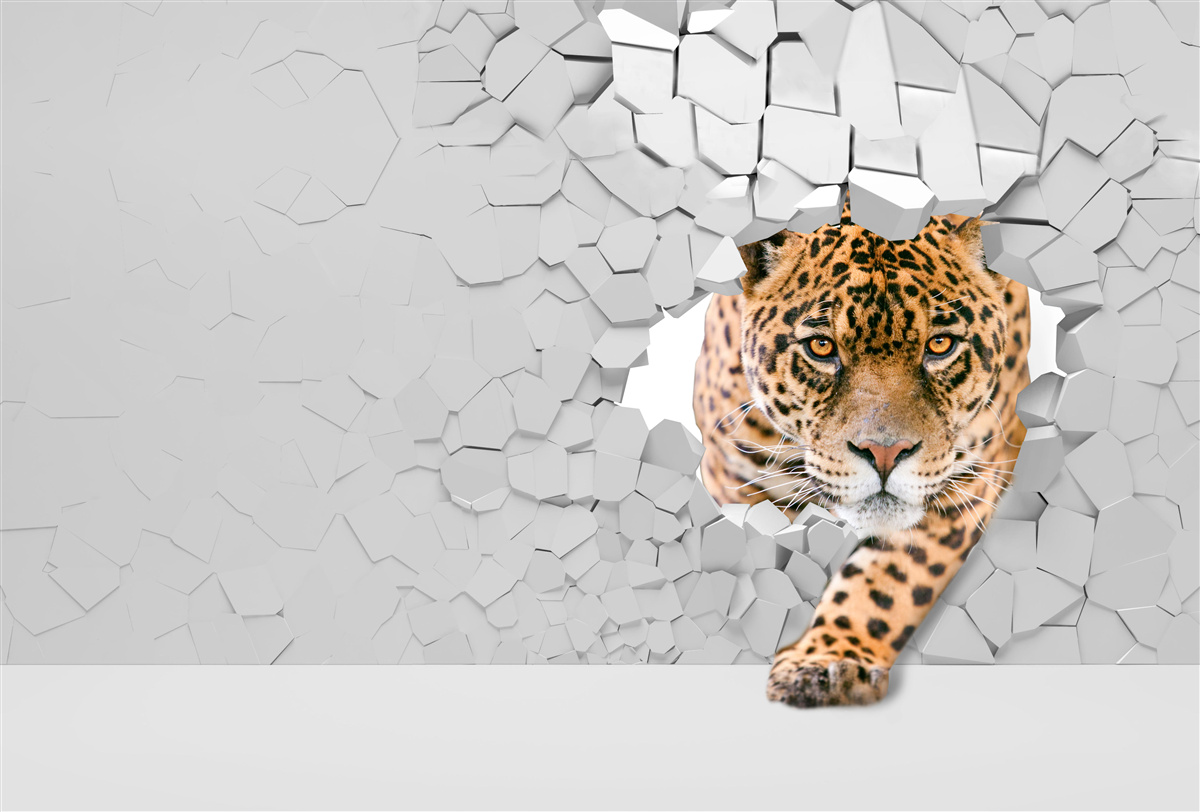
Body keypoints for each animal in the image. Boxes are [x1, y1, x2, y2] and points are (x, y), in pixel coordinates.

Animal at [693, 201, 1030, 708]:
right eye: (821, 347)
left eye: (940, 345)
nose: (885, 453)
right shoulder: (733, 475)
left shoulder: (965, 487)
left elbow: (885, 583)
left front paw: (830, 659)